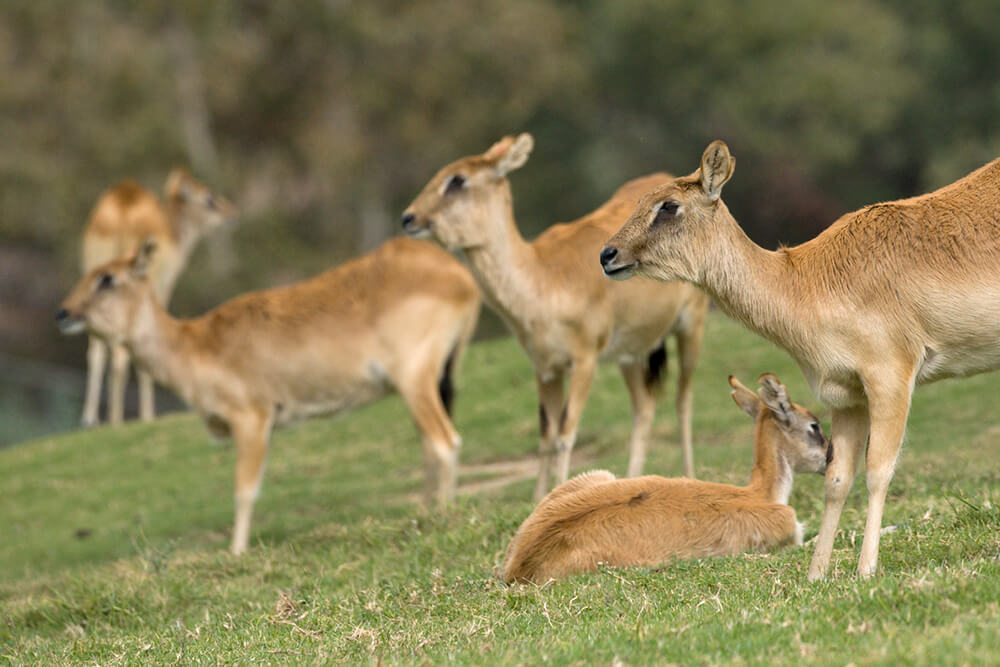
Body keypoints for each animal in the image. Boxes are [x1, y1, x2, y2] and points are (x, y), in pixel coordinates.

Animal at [56, 237, 482, 556]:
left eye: (107, 278)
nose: (63, 313)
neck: (196, 345)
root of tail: (459, 276)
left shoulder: (253, 418)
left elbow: (245, 490)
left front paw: (236, 551)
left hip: (414, 378)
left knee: (446, 442)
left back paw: (443, 514)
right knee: (430, 443)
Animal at [79, 170, 237, 426]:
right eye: (209, 199)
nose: (232, 213)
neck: (174, 231)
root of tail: (122, 204)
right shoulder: (160, 290)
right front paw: (147, 416)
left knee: (96, 349)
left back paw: (90, 420)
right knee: (120, 353)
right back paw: (117, 420)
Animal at [400, 134, 712, 500]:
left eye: (458, 179)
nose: (409, 217)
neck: (543, 281)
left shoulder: (584, 360)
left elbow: (565, 434)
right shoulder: (545, 369)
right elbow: (546, 436)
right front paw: (537, 499)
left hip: (691, 325)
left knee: (683, 398)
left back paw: (689, 475)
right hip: (630, 354)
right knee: (645, 407)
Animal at [596, 140, 1000, 580]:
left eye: (668, 205)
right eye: (640, 200)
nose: (608, 254)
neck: (804, 282)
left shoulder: (890, 376)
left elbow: (878, 471)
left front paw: (866, 570)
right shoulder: (846, 395)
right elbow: (837, 478)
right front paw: (816, 574)